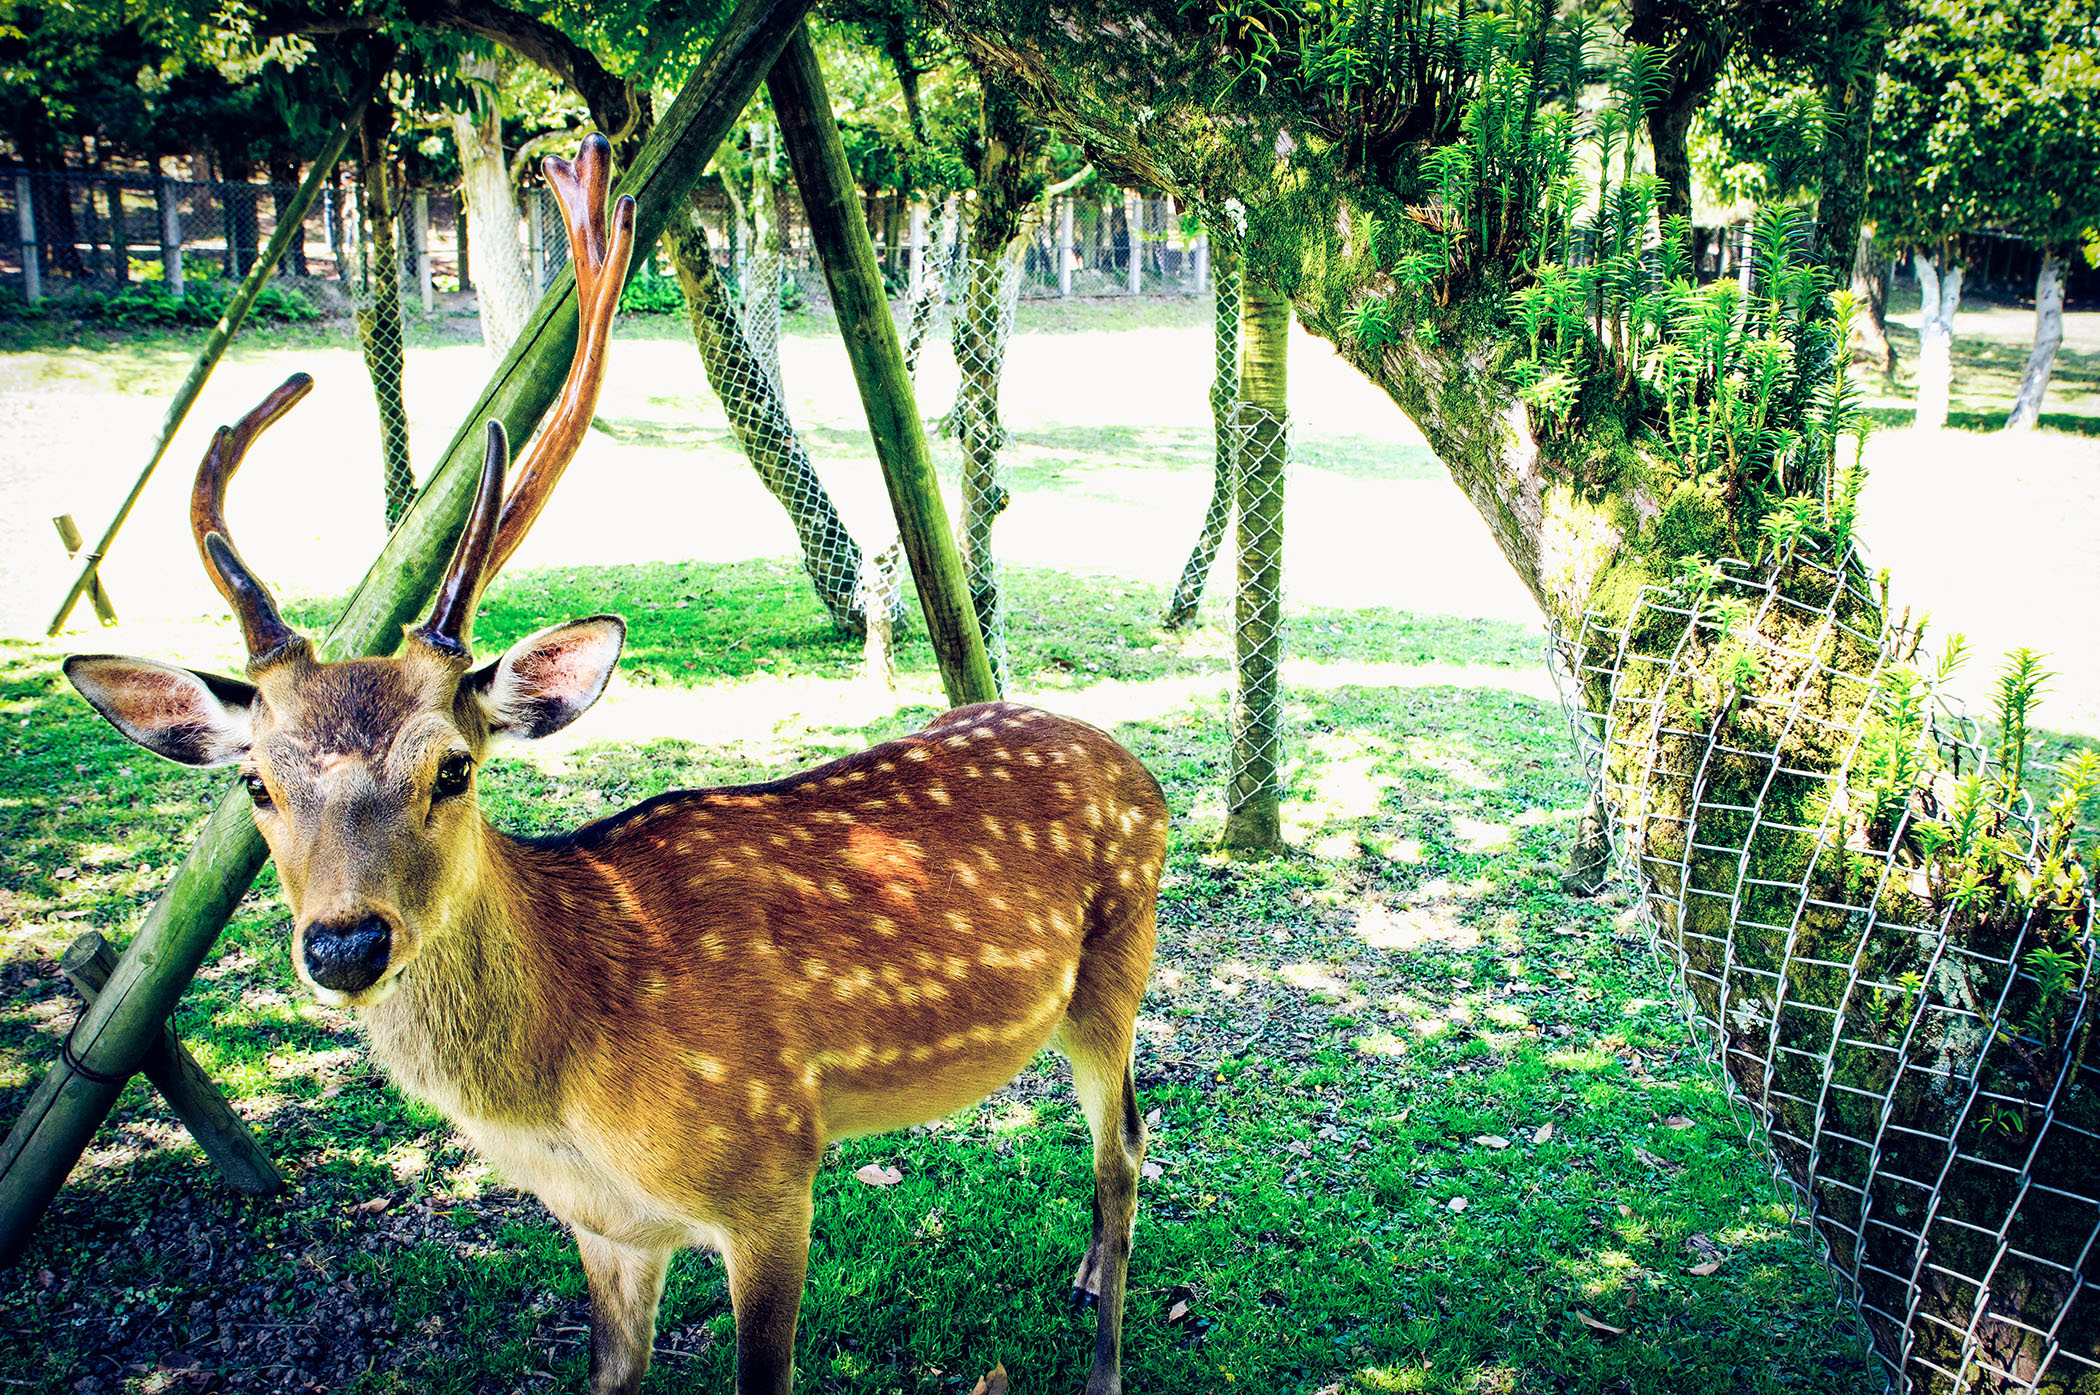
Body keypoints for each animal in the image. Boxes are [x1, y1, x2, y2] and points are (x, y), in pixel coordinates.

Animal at [57, 138, 1167, 1394]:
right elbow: (608, 1371)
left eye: (454, 769)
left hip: (1116, 970)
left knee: (1129, 1142)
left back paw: (1105, 1349)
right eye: (256, 786)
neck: (570, 1099)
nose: (345, 945)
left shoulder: (773, 1169)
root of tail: (1139, 770)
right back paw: (1082, 1276)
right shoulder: (604, 1228)